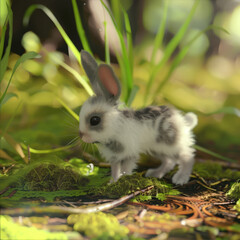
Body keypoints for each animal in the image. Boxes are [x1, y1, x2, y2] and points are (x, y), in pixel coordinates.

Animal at [79, 50, 197, 186]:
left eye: (94, 120)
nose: (81, 135)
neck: (115, 128)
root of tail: (184, 122)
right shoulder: (115, 157)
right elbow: (115, 169)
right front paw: (112, 183)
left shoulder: (130, 154)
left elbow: (125, 169)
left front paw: (123, 181)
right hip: (158, 149)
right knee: (169, 161)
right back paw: (155, 173)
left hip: (172, 145)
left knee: (188, 157)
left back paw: (180, 178)